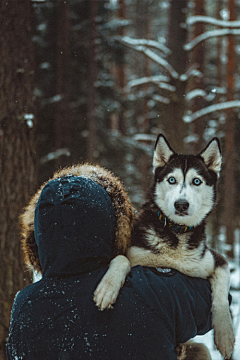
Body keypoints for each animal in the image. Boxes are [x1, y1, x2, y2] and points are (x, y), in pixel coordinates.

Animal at [94, 134, 235, 360]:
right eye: (171, 180)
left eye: (197, 181)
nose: (181, 204)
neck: (176, 231)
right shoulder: (132, 250)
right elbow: (121, 258)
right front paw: (107, 289)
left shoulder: (215, 260)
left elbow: (222, 296)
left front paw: (225, 336)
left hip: (201, 350)